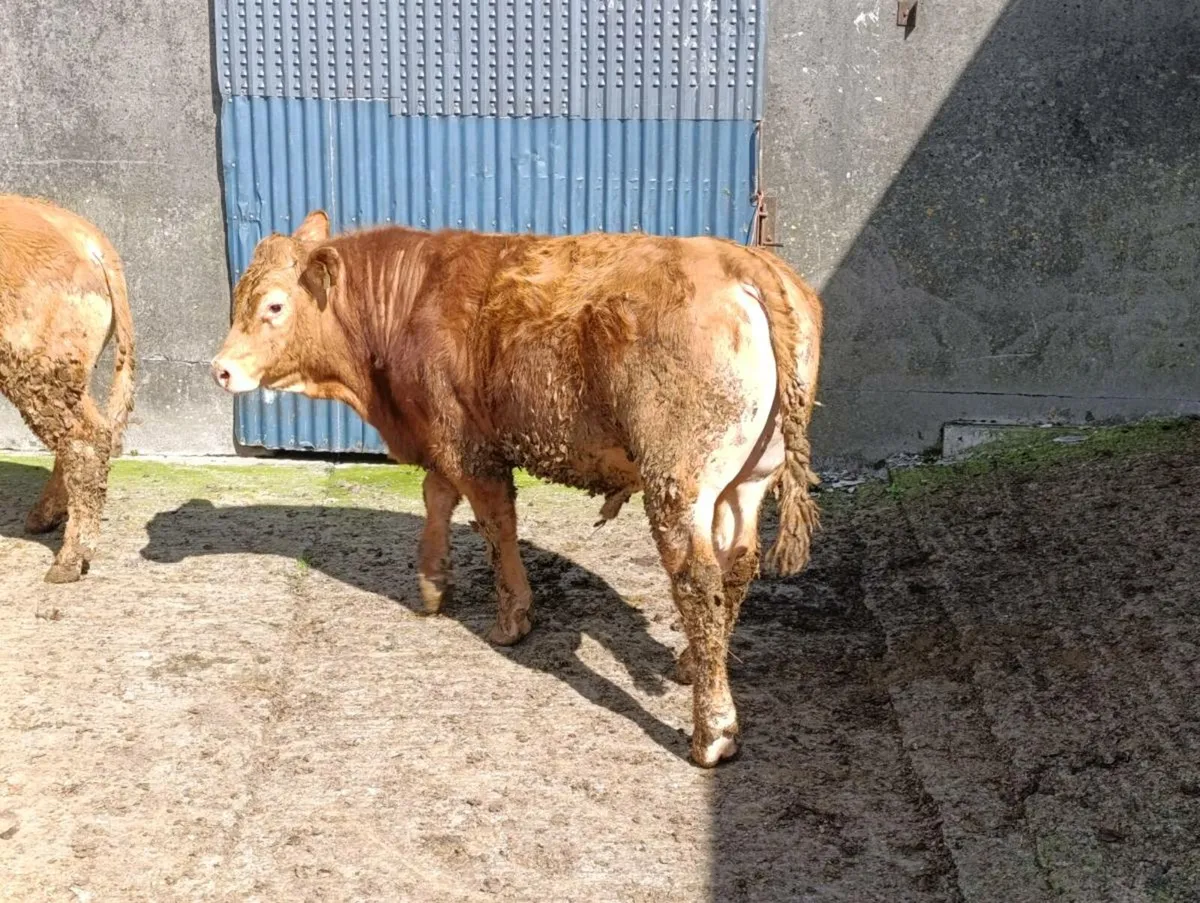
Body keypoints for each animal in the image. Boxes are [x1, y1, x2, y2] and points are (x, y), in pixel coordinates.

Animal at [212, 211, 822, 766]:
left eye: (273, 306)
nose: (220, 369)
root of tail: (742, 261)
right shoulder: (447, 434)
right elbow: (436, 496)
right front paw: (432, 584)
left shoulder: (469, 445)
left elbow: (495, 524)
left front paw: (512, 619)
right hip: (749, 478)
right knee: (734, 566)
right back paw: (694, 662)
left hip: (678, 477)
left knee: (698, 579)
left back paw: (712, 732)